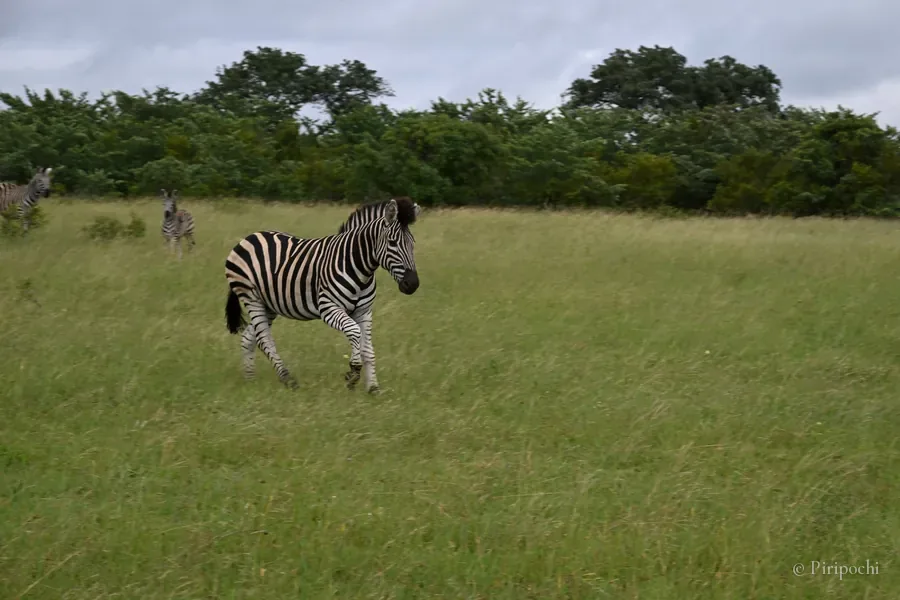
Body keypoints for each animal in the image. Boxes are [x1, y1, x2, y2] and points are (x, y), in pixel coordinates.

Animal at [224, 196, 421, 393]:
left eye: (413, 243)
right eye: (393, 243)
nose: (412, 284)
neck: (357, 266)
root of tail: (249, 237)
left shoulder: (364, 312)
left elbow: (368, 349)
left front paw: (373, 388)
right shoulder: (328, 308)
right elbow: (354, 331)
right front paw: (353, 372)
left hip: (270, 304)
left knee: (250, 337)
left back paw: (250, 380)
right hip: (251, 297)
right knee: (264, 339)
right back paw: (288, 379)